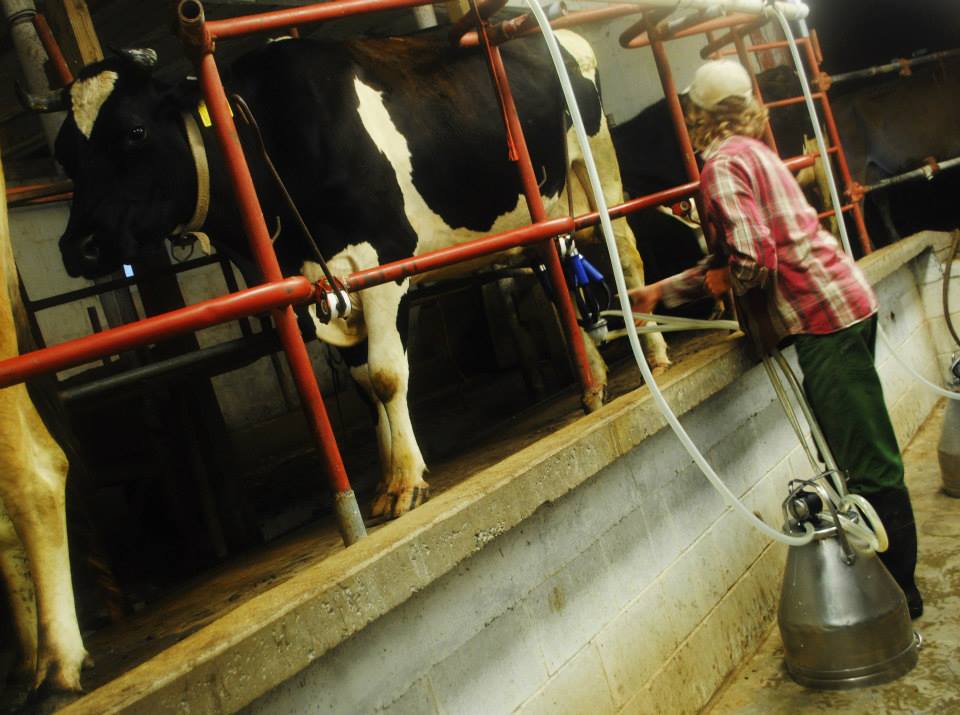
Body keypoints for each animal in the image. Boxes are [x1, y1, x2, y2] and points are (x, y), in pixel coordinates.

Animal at [37, 32, 668, 520]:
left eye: (134, 132)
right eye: (64, 153)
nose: (79, 247)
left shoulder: (382, 260)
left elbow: (388, 375)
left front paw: (406, 482)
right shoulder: (316, 289)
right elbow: (365, 385)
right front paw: (385, 475)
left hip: (598, 167)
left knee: (627, 253)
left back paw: (655, 352)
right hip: (538, 208)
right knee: (552, 270)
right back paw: (592, 376)